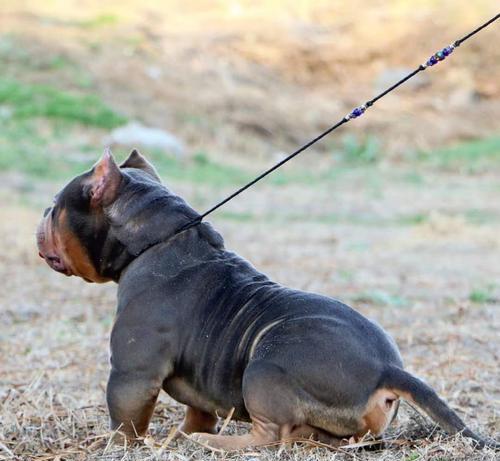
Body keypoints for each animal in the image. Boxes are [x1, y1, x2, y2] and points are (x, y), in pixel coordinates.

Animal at [35, 149, 496, 448]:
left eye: (54, 207)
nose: (41, 216)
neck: (159, 236)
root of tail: (386, 368)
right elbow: (198, 411)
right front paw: (184, 434)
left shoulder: (132, 374)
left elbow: (126, 422)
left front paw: (118, 445)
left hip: (263, 367)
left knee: (269, 437)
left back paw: (217, 446)